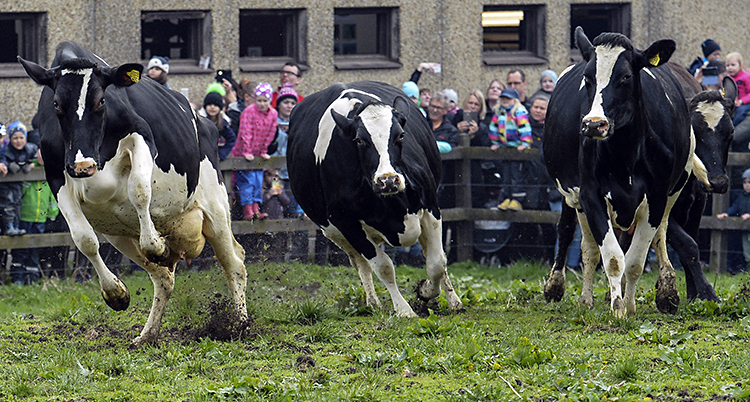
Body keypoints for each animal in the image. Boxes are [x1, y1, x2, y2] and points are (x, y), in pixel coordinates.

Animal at [18, 42, 247, 348]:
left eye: (102, 101)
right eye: (56, 104)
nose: (82, 165)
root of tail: (206, 122)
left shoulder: (141, 136)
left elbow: (139, 189)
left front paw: (157, 245)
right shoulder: (57, 175)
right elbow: (85, 240)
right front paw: (115, 293)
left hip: (216, 206)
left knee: (234, 263)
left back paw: (240, 324)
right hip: (119, 233)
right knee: (163, 279)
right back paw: (147, 335)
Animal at [288, 80, 464, 316]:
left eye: (400, 135)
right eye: (360, 140)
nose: (387, 180)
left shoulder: (430, 206)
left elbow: (436, 263)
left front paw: (425, 291)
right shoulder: (346, 223)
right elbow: (383, 267)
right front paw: (404, 310)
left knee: (433, 254)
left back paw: (454, 300)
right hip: (334, 232)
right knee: (359, 262)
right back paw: (372, 302)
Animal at [544, 28, 704, 318]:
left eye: (626, 77)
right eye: (588, 78)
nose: (593, 124)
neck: (624, 156)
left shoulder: (656, 198)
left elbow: (636, 259)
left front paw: (629, 305)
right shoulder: (590, 196)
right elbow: (612, 258)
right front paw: (617, 307)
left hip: (673, 192)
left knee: (661, 235)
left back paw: (666, 290)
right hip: (574, 196)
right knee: (583, 245)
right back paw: (577, 295)